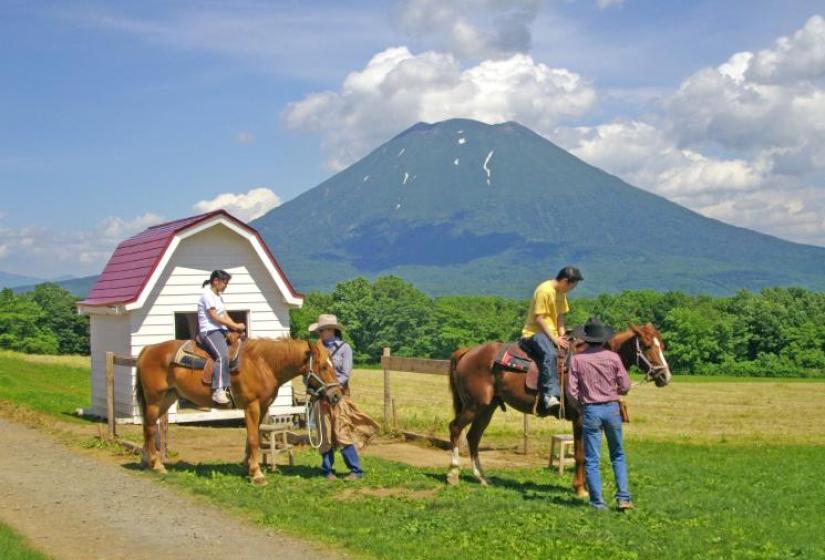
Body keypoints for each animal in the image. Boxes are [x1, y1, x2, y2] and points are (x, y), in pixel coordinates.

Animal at [135, 336, 342, 486]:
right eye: (324, 366)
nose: (336, 395)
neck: (264, 364)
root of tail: (148, 349)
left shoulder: (262, 406)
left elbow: (253, 437)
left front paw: (248, 467)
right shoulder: (252, 406)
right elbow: (253, 439)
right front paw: (257, 474)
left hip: (167, 398)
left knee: (148, 427)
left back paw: (147, 461)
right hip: (154, 400)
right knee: (149, 428)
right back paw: (157, 464)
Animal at [448, 322, 672, 496]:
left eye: (662, 345)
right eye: (646, 345)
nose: (665, 376)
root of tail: (467, 352)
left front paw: (583, 487)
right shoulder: (580, 418)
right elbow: (581, 454)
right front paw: (581, 489)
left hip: (487, 408)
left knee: (473, 437)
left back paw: (482, 478)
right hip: (474, 405)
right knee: (455, 429)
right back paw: (453, 474)